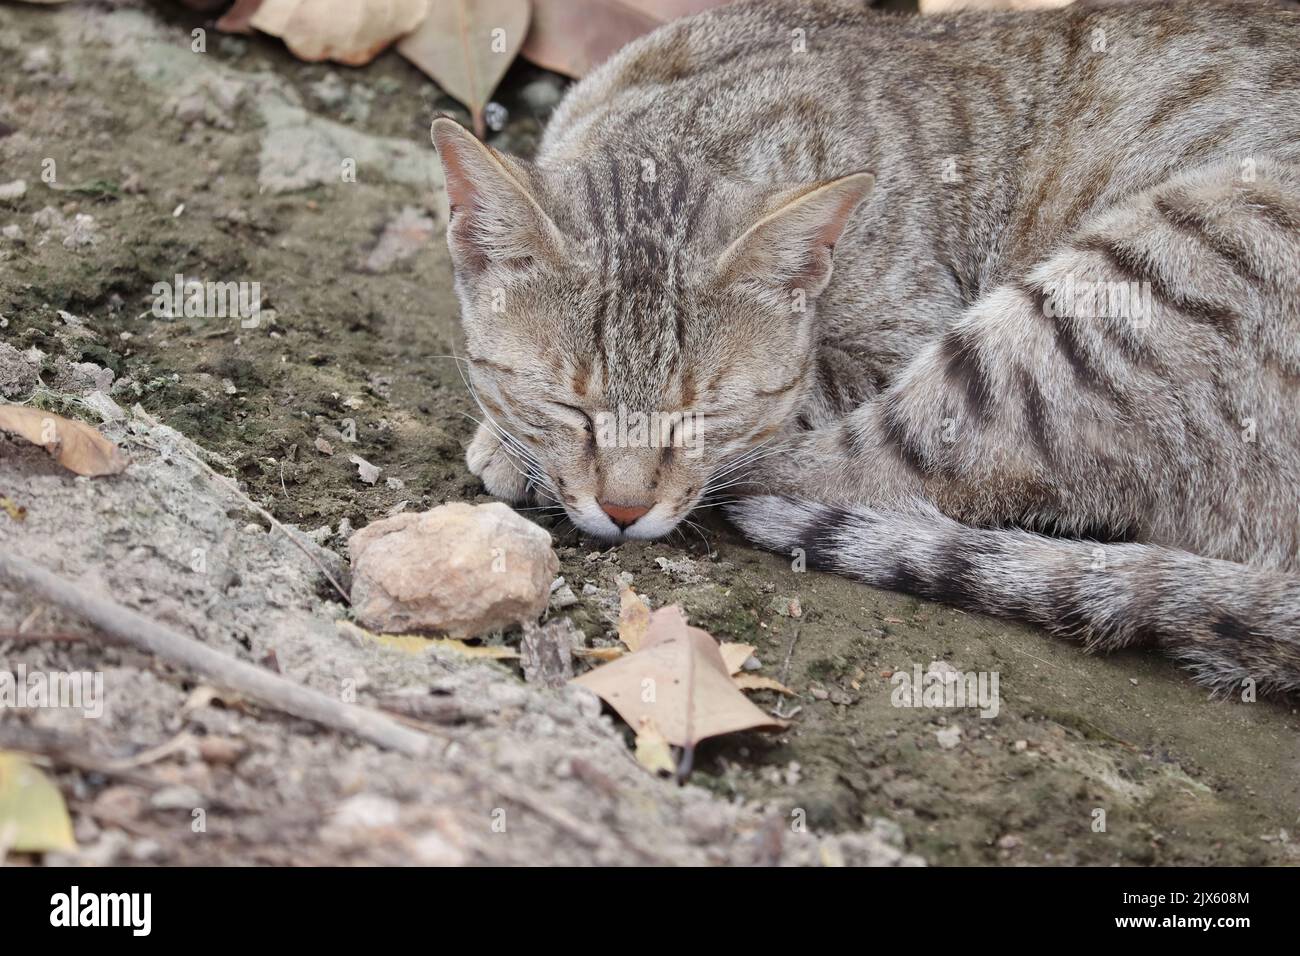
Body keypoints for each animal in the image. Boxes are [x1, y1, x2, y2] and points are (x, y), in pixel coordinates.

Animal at [434, 0, 1300, 691]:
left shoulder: (890, 339)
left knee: (868, 470)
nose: (622, 509)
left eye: (704, 414)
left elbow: (790, 418)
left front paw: (513, 449)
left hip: (1160, 264)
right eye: (569, 405)